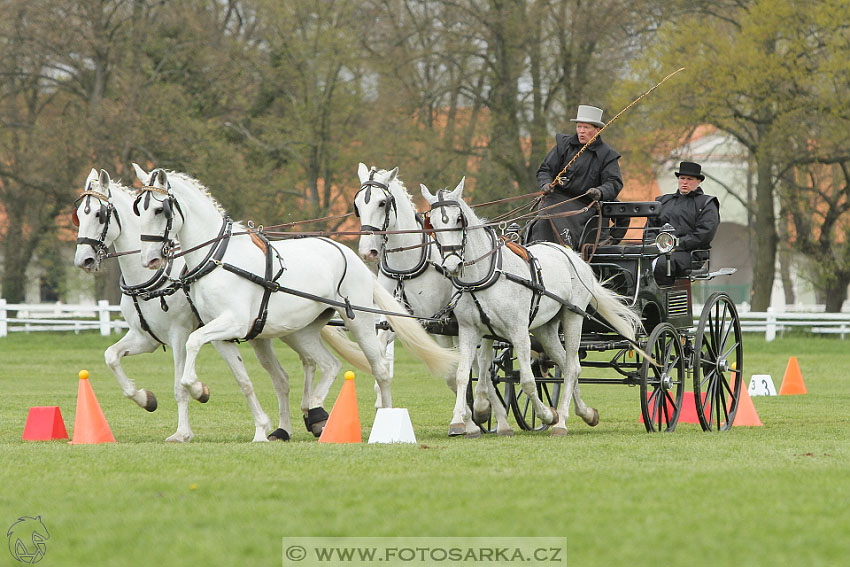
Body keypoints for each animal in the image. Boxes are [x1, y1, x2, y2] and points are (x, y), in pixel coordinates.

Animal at [73, 169, 348, 444]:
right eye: (78, 216)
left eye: (98, 215)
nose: (83, 261)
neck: (156, 277)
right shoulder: (146, 338)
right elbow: (111, 356)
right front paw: (145, 398)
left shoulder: (179, 334)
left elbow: (179, 385)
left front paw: (185, 426)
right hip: (272, 333)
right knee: (292, 372)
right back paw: (294, 424)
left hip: (288, 328)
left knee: (310, 363)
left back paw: (314, 416)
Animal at [132, 166, 454, 414]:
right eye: (139, 210)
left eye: (159, 209)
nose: (149, 259)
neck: (218, 257)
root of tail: (350, 255)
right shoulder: (219, 328)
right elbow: (202, 349)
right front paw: (198, 388)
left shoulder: (234, 321)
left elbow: (192, 342)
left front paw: (198, 388)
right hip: (304, 329)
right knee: (329, 364)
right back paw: (314, 408)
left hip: (360, 322)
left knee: (381, 370)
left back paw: (384, 418)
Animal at [352, 165, 504, 440]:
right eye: (357, 205)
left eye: (382, 203)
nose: (368, 251)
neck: (406, 268)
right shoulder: (398, 322)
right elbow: (381, 353)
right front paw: (382, 403)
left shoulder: (441, 323)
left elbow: (454, 373)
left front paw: (467, 422)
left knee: (482, 365)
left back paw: (490, 412)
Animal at [420, 180, 640, 438]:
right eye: (432, 224)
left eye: (458, 219)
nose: (452, 265)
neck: (487, 274)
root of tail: (574, 256)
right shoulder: (468, 330)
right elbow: (464, 374)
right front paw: (461, 420)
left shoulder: (518, 331)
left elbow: (526, 380)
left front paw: (547, 415)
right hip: (546, 329)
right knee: (567, 365)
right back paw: (585, 413)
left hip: (573, 316)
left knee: (572, 367)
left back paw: (561, 422)